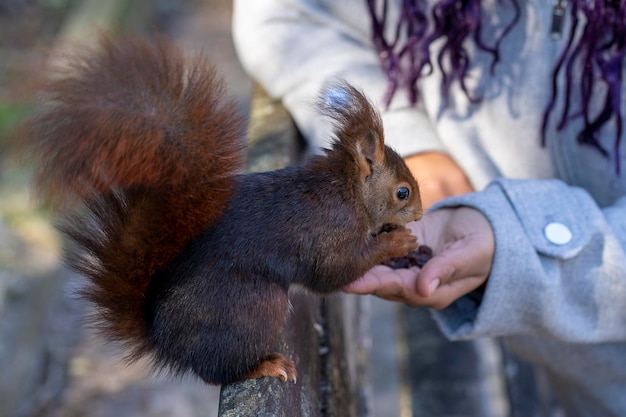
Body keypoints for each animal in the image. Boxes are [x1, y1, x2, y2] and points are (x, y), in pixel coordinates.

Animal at [20, 35, 420, 384]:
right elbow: (336, 271)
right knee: (218, 372)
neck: (347, 189)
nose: (419, 213)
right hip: (254, 306)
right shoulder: (329, 234)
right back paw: (264, 366)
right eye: (402, 192)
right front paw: (398, 242)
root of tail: (165, 341)